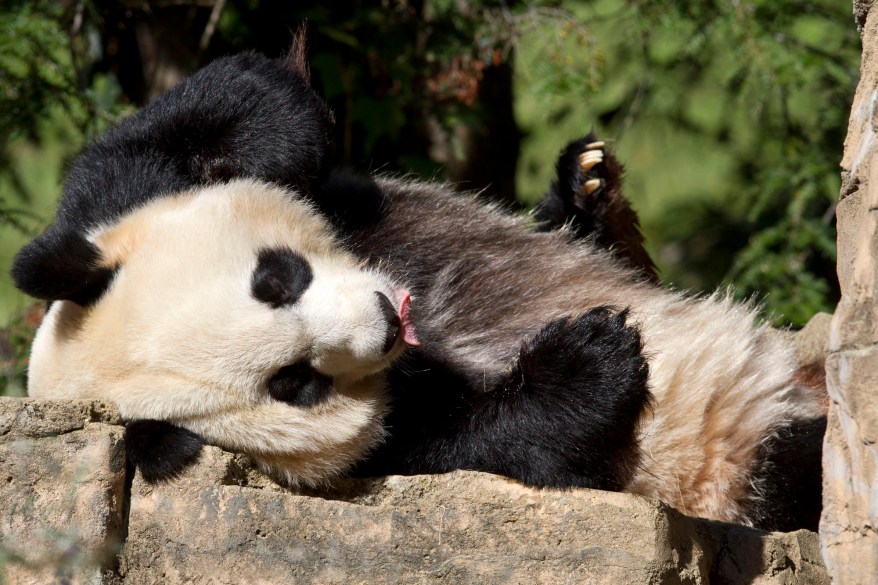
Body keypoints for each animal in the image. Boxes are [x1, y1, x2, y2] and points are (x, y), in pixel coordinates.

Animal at [10, 43, 828, 532]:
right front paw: (587, 357)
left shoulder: (107, 213)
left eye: (277, 277)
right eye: (295, 382)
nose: (382, 319)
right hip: (742, 461)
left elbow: (193, 127)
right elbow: (502, 447)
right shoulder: (381, 461)